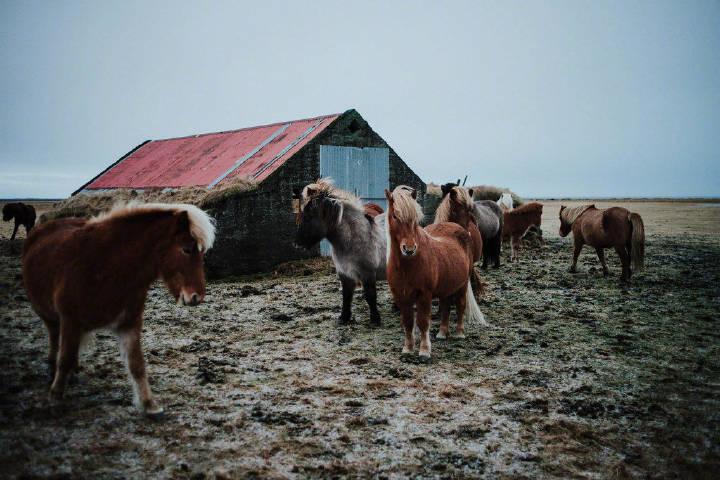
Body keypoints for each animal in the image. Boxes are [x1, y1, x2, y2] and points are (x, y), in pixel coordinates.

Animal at [21, 202, 214, 416]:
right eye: (186, 250)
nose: (197, 297)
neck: (106, 267)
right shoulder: (70, 320)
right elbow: (64, 359)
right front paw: (55, 397)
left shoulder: (129, 323)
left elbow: (136, 364)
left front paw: (149, 404)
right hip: (50, 317)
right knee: (55, 337)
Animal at [292, 179, 386, 326]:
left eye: (309, 216)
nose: (297, 244)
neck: (353, 240)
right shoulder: (344, 274)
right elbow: (346, 296)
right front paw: (344, 318)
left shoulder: (368, 274)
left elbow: (370, 296)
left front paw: (375, 320)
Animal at [382, 186, 484, 358]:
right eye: (395, 215)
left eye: (415, 218)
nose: (409, 249)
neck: (407, 264)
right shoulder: (402, 296)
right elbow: (408, 322)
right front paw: (408, 348)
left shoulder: (424, 295)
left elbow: (423, 322)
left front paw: (424, 350)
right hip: (446, 286)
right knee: (445, 306)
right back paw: (442, 333)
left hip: (462, 284)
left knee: (460, 304)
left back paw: (459, 333)